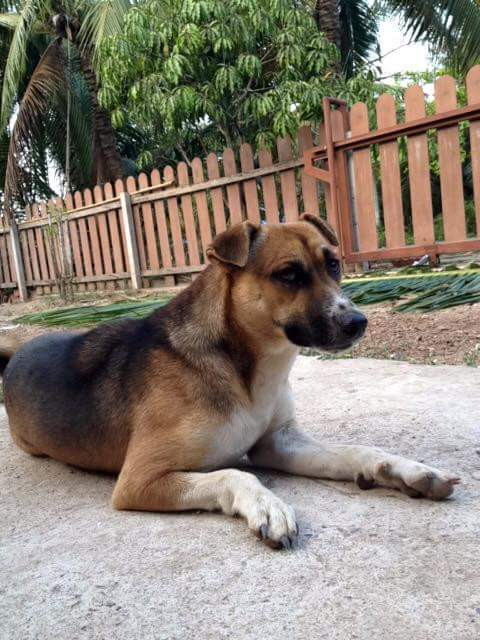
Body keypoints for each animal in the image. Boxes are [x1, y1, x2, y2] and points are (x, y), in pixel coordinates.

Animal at [1, 213, 459, 549]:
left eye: (333, 264)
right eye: (288, 275)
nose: (358, 322)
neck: (244, 366)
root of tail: (18, 351)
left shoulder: (278, 443)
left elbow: (355, 451)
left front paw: (405, 470)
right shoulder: (139, 480)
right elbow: (234, 474)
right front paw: (267, 506)